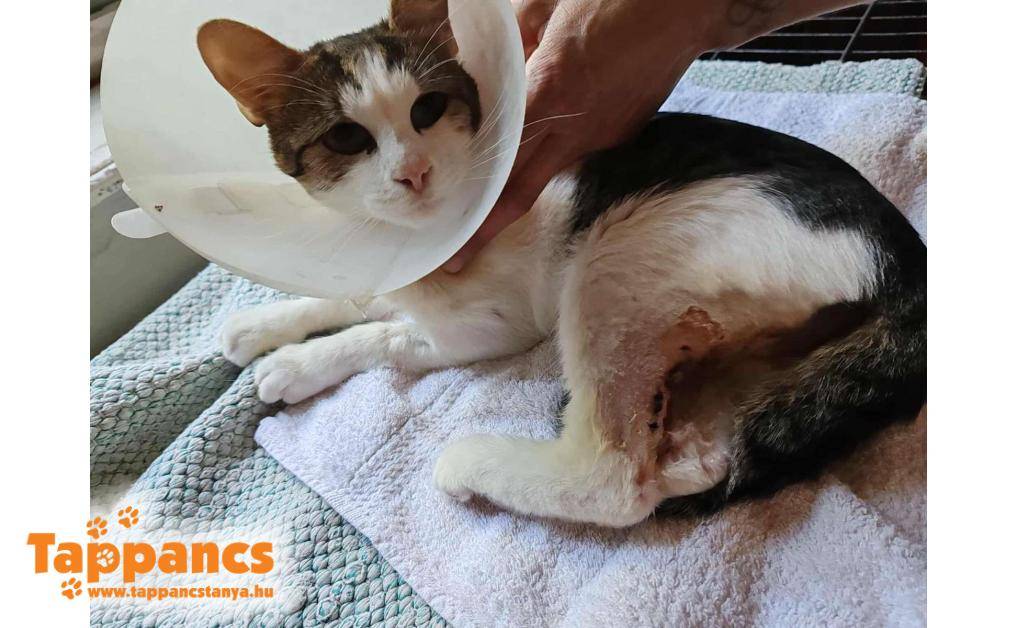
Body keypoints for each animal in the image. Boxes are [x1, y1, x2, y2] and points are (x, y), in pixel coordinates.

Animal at [197, 0, 926, 526]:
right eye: (346, 138)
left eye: (427, 109)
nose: (414, 173)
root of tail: (908, 256)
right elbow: (357, 296)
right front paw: (267, 327)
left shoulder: (490, 326)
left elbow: (386, 335)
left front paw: (297, 363)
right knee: (708, 454)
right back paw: (693, 449)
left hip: (623, 250)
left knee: (615, 480)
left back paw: (477, 464)